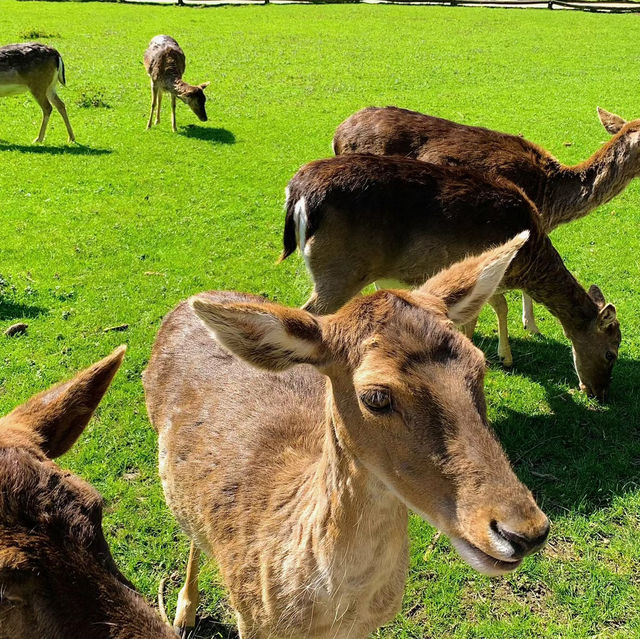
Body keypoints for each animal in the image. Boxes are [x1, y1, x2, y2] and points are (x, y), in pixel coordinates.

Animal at [280, 154, 620, 400]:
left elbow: (496, 307)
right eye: (611, 353)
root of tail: (299, 194)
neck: (528, 262)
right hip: (339, 271)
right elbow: (483, 314)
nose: (600, 393)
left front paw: (502, 356)